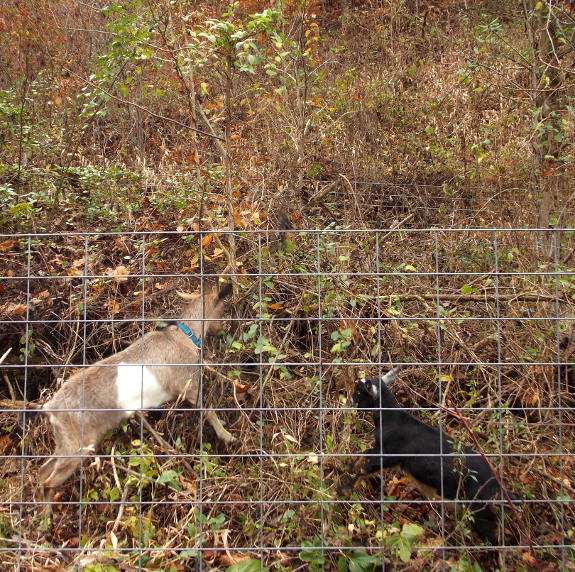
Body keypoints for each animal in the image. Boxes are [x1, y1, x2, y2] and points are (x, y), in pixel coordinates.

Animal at [30, 282, 234, 512]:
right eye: (223, 307)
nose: (224, 330)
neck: (184, 335)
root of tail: (50, 408)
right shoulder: (187, 384)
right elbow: (208, 411)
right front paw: (226, 436)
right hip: (78, 444)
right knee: (50, 480)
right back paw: (48, 516)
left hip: (65, 440)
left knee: (43, 470)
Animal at [338, 366, 520, 544]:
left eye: (359, 392)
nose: (350, 401)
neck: (392, 419)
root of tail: (497, 485)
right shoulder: (381, 448)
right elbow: (366, 453)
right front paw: (349, 466)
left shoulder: (392, 454)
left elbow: (366, 468)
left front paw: (344, 489)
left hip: (478, 508)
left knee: (491, 537)